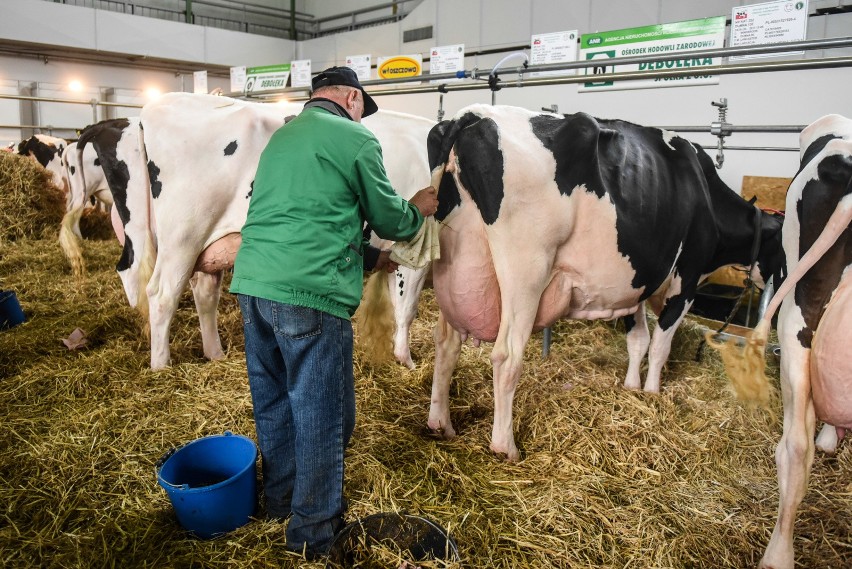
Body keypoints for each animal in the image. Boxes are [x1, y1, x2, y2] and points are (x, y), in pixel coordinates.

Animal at [422, 104, 784, 462]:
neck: (706, 194)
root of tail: (471, 114)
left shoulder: (635, 285)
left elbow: (638, 340)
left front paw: (632, 387)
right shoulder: (687, 280)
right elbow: (659, 345)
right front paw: (653, 392)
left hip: (455, 268)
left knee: (446, 343)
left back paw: (441, 423)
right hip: (526, 271)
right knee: (506, 356)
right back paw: (505, 446)